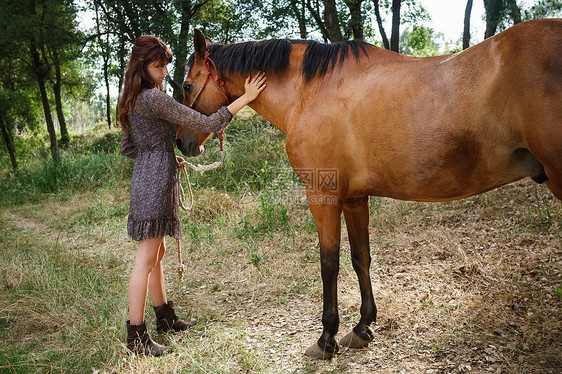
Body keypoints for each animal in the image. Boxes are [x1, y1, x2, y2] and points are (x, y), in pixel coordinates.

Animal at [176, 18, 560, 360]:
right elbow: (361, 257)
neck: (311, 91)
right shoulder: (355, 198)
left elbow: (328, 263)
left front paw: (326, 338)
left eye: (185, 86)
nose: (181, 143)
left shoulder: (323, 197)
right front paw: (362, 327)